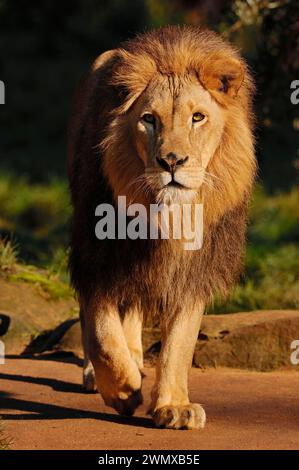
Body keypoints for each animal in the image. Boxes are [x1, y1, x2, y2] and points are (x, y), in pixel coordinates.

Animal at [68, 25, 258, 430]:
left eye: (198, 118)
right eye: (149, 119)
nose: (172, 161)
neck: (167, 215)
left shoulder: (195, 266)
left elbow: (181, 342)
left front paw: (173, 405)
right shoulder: (97, 252)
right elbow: (101, 330)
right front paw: (123, 389)